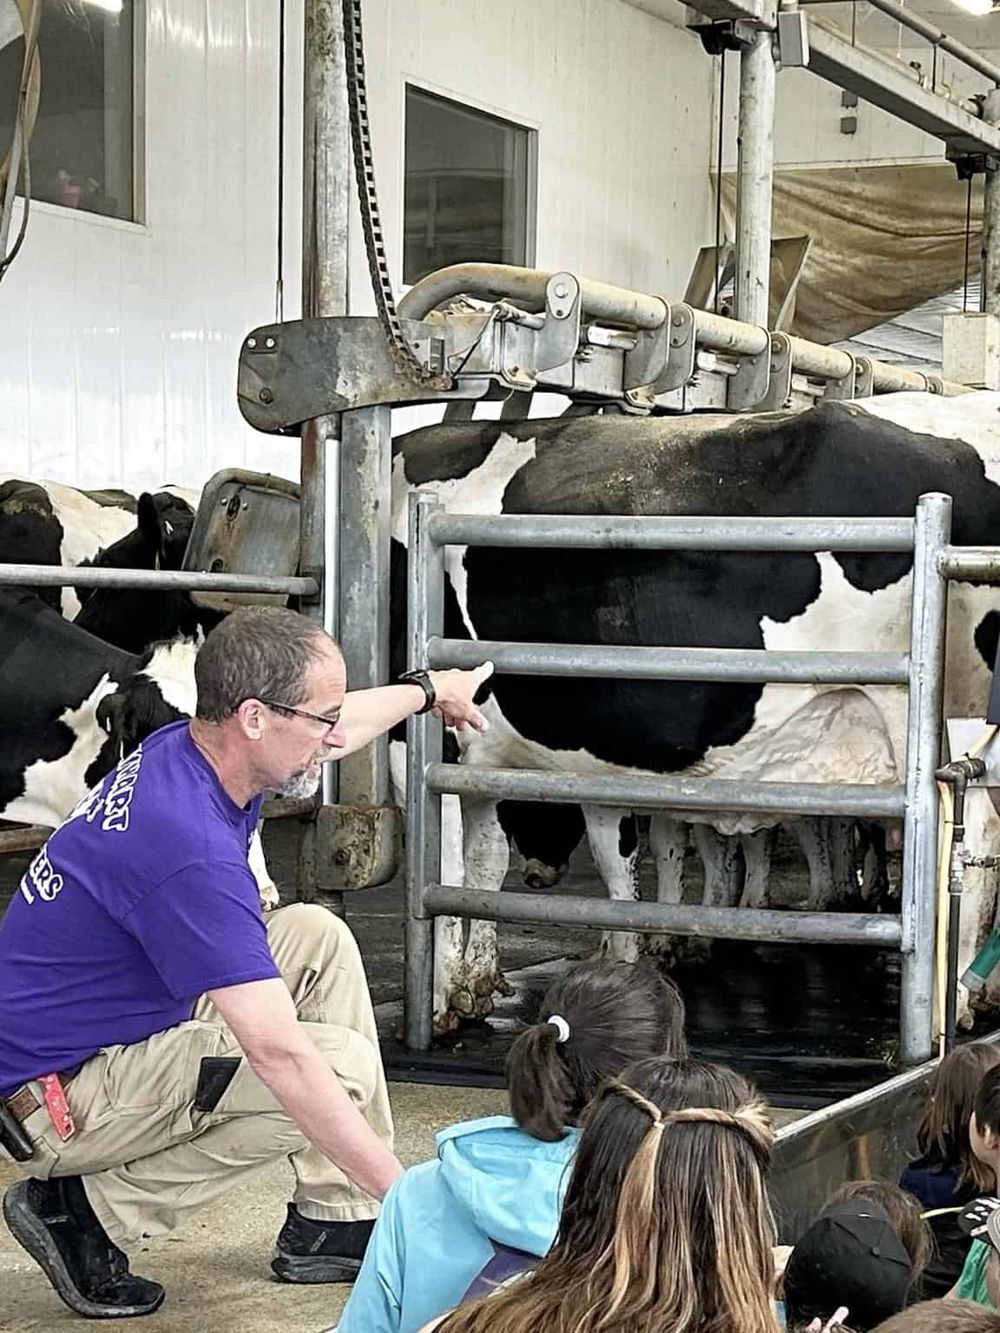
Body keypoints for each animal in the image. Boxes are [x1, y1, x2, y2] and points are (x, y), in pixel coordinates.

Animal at [390, 391, 1000, 1031]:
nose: (538, 876)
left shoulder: (422, 740)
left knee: (974, 830)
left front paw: (439, 998)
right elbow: (490, 859)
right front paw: (478, 983)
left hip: (943, 716)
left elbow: (444, 863)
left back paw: (955, 1002)